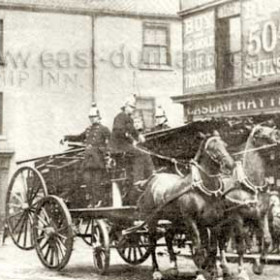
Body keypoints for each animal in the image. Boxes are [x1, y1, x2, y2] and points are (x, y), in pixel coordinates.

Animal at [137, 132, 235, 280]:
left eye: (225, 145)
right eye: (212, 148)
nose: (231, 164)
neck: (203, 188)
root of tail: (152, 180)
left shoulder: (213, 222)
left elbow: (212, 248)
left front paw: (211, 271)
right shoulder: (191, 221)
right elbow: (199, 248)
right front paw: (201, 272)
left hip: (176, 220)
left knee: (168, 235)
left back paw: (174, 267)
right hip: (153, 219)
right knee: (152, 243)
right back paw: (156, 271)